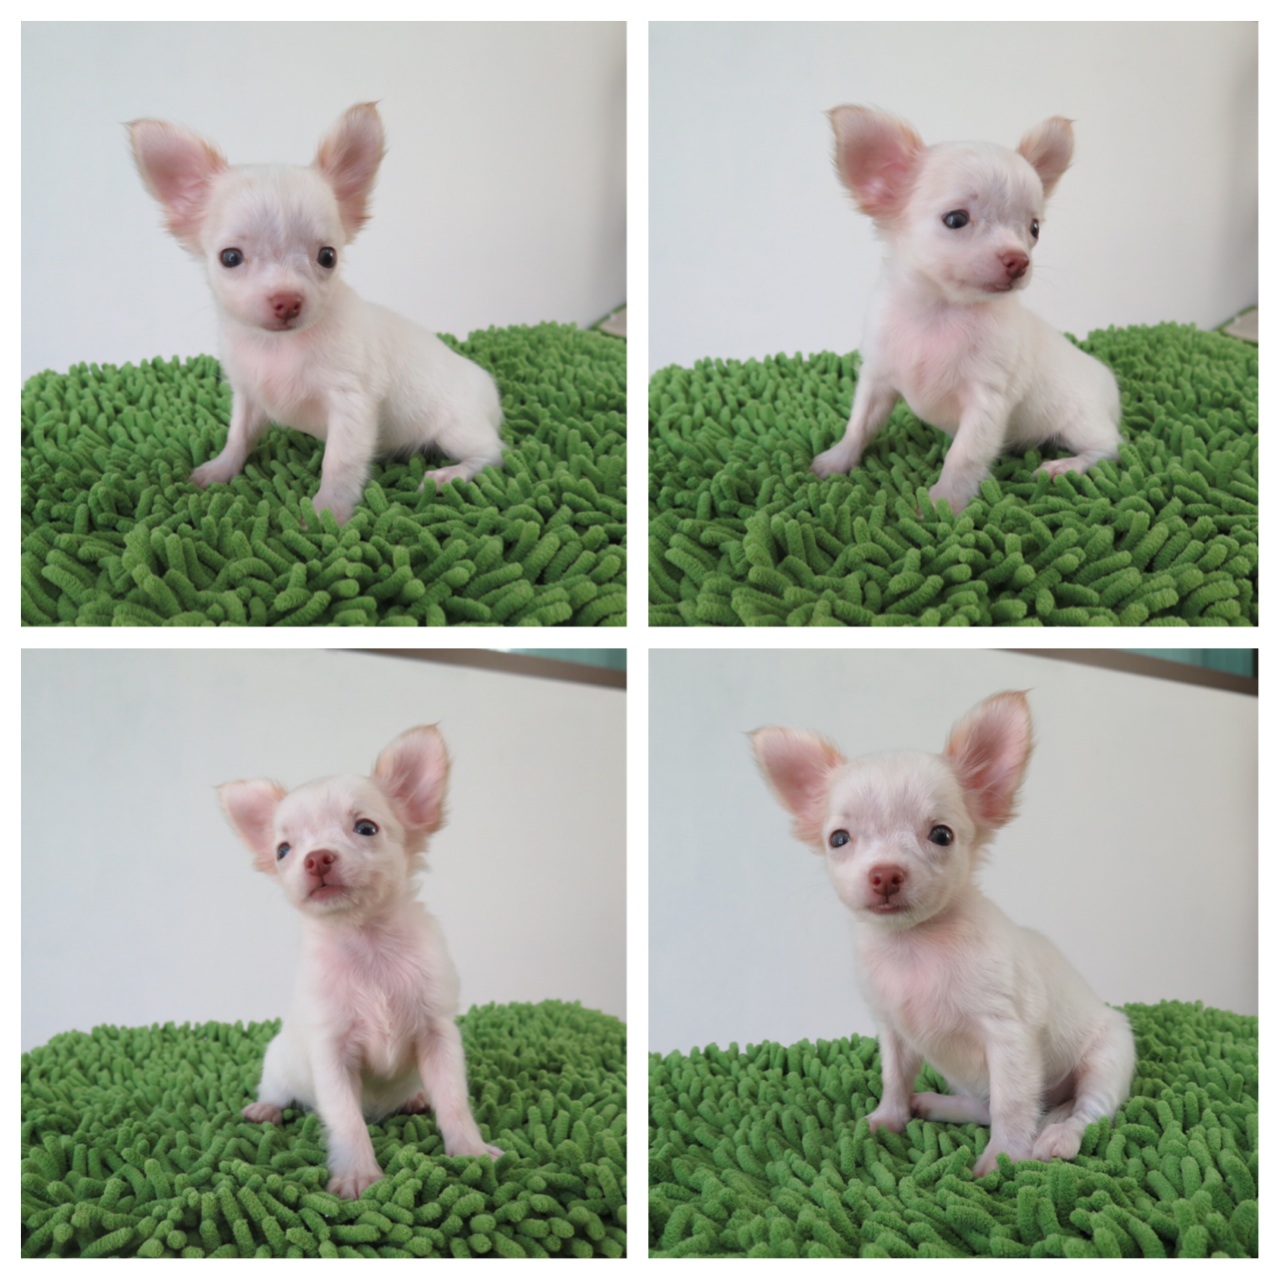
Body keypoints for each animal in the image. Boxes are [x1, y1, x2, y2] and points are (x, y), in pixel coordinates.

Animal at [129, 103, 504, 525]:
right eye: (230, 258)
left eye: (328, 257)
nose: (287, 300)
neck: (278, 346)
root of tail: (489, 389)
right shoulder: (248, 395)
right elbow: (238, 435)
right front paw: (221, 469)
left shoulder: (351, 404)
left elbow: (339, 462)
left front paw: (327, 513)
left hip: (456, 428)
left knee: (492, 453)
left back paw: (449, 475)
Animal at [217, 725, 502, 1199]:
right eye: (283, 850)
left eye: (366, 828)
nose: (317, 857)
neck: (367, 941)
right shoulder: (331, 1052)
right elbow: (347, 1119)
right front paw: (358, 1176)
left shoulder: (438, 1034)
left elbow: (453, 1100)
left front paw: (470, 1151)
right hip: (279, 1065)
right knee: (277, 1091)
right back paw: (265, 1109)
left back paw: (415, 1098)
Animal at [751, 691, 1134, 1176]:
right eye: (839, 839)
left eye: (941, 835)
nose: (885, 874)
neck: (913, 944)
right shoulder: (892, 1030)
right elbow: (895, 1078)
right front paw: (888, 1119)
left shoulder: (1008, 1036)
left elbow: (1012, 1103)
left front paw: (1003, 1159)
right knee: (984, 1106)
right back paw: (935, 1104)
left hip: (1107, 1059)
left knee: (1085, 1111)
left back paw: (1057, 1136)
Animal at [812, 106, 1120, 512]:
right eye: (956, 219)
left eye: (1034, 229)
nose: (1019, 261)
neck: (941, 311)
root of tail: (1109, 385)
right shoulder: (877, 378)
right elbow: (860, 423)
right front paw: (838, 459)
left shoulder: (986, 401)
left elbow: (964, 455)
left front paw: (943, 504)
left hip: (1079, 422)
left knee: (1109, 447)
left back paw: (1064, 466)